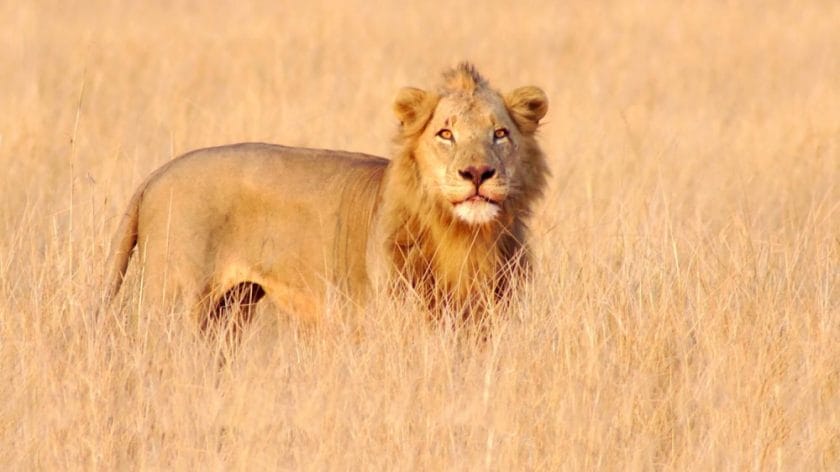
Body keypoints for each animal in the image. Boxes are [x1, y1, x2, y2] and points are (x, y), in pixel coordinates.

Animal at [103, 62, 552, 328]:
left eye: (500, 133)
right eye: (446, 133)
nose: (477, 173)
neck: (463, 236)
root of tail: (158, 174)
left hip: (231, 310)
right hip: (176, 301)